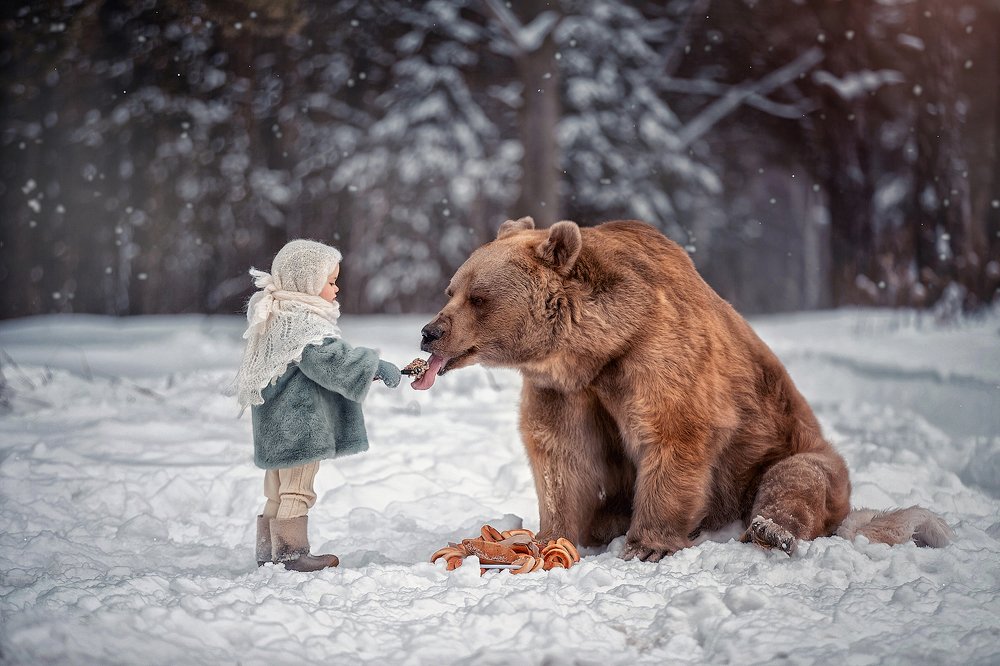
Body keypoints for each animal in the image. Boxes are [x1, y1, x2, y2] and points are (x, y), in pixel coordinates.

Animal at [414, 217, 952, 560]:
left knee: (799, 478)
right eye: (451, 289)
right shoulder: (564, 391)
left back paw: (769, 530)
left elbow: (675, 433)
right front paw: (550, 537)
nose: (430, 331)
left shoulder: (657, 355)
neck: (594, 350)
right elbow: (563, 458)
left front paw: (647, 545)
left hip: (790, 450)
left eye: (478, 297)